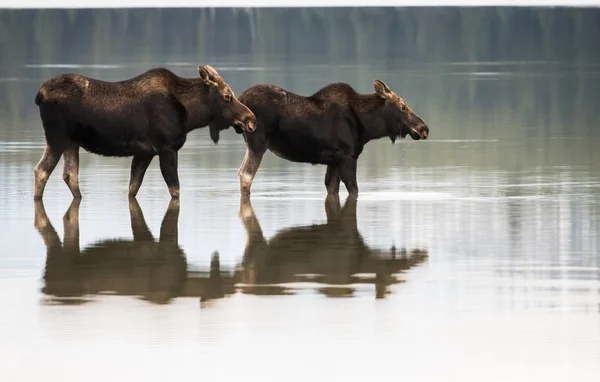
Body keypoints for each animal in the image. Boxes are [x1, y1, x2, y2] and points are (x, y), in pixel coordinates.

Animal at [32, 63, 256, 200]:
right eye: (227, 96)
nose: (250, 119)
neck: (191, 115)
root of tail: (39, 95)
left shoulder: (144, 152)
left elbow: (133, 188)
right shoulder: (167, 148)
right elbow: (175, 190)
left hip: (72, 143)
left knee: (70, 175)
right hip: (56, 139)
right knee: (41, 171)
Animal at [209, 78, 428, 197]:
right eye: (403, 106)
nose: (424, 128)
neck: (367, 127)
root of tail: (240, 99)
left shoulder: (334, 161)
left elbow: (333, 190)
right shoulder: (347, 157)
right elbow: (354, 190)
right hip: (258, 143)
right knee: (246, 175)